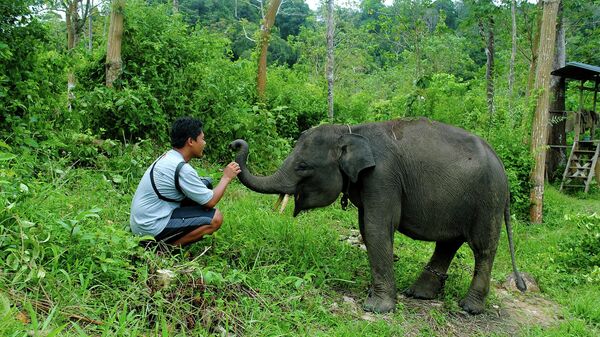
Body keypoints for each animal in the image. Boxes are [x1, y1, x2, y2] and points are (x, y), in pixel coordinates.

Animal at [230, 117, 524, 314]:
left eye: (303, 166)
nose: (236, 144)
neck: (350, 132)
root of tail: (502, 166)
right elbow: (365, 227)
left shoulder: (383, 177)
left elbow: (376, 228)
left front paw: (376, 307)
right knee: (449, 243)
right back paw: (419, 294)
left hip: (488, 201)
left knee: (482, 248)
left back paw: (470, 308)